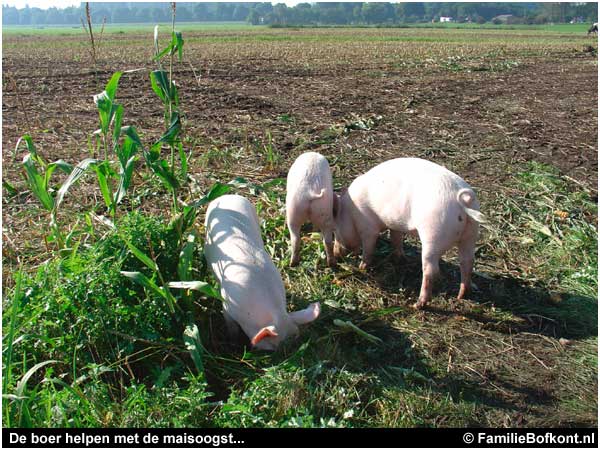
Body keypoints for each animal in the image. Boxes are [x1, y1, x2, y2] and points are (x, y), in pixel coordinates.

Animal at [205, 193, 322, 352]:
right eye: (271, 346)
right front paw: (233, 341)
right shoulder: (227, 305)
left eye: (295, 336)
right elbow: (231, 327)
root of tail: (227, 196)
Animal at [332, 158, 488, 310]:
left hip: (433, 235)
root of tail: (462, 199)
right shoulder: (394, 223)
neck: (350, 213)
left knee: (430, 270)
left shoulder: (368, 227)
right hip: (471, 234)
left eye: (335, 230)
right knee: (467, 261)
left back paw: (418, 304)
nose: (336, 254)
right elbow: (396, 238)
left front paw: (362, 267)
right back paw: (462, 295)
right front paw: (398, 259)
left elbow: (368, 248)